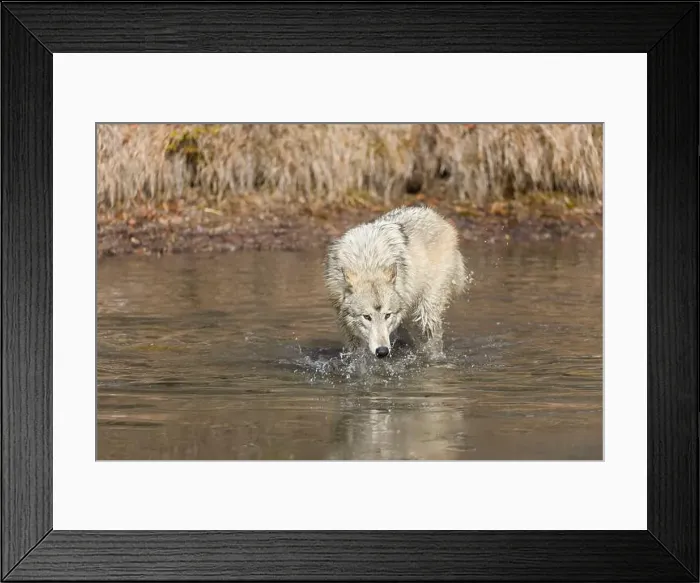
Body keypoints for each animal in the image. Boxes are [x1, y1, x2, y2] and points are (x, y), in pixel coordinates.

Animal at [324, 204, 467, 359]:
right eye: (367, 317)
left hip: (425, 312)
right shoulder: (347, 327)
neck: (368, 265)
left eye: (387, 315)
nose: (382, 351)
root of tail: (439, 218)